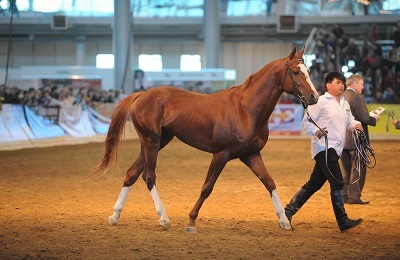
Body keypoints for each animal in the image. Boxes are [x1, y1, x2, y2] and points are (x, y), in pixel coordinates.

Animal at [94, 45, 318, 234]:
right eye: (296, 72)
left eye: (308, 71)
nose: (314, 97)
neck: (245, 109)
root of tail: (141, 95)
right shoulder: (220, 155)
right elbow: (207, 187)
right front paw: (191, 222)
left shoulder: (251, 155)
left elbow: (269, 182)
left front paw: (284, 221)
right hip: (151, 141)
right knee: (148, 177)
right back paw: (163, 218)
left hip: (158, 141)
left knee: (131, 174)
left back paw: (115, 216)